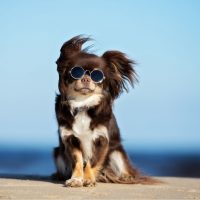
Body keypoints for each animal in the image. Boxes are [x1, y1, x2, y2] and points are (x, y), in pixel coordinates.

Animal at [52, 35, 153, 187]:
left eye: (97, 75)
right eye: (76, 72)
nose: (86, 78)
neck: (83, 104)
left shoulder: (102, 140)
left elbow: (91, 162)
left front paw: (88, 179)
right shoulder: (70, 139)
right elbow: (78, 161)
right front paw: (76, 179)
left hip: (117, 152)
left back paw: (125, 177)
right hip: (58, 152)